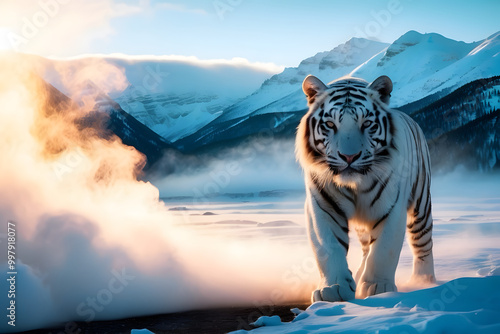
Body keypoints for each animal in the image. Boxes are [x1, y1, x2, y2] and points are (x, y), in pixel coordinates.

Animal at [296, 75, 434, 300]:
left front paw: (377, 287)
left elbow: (383, 249)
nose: (349, 157)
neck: (354, 185)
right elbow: (329, 248)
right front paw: (334, 289)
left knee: (422, 243)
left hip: (420, 206)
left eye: (367, 123)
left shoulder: (392, 206)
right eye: (330, 124)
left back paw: (423, 281)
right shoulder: (323, 206)